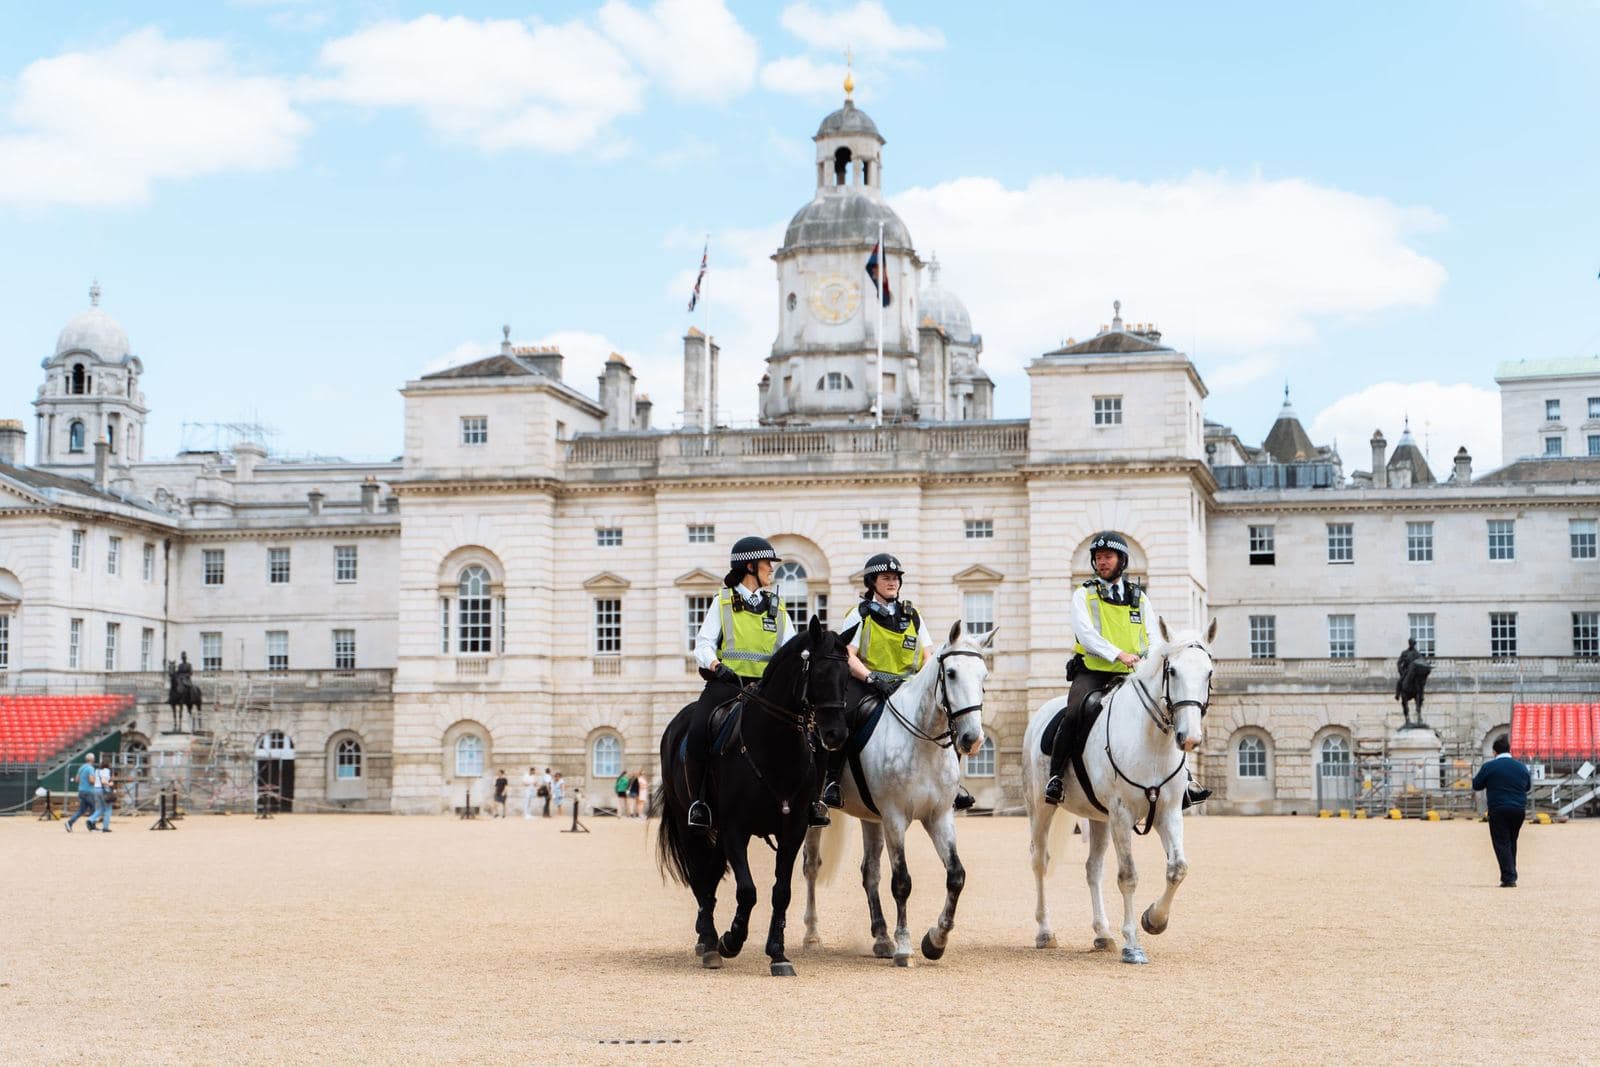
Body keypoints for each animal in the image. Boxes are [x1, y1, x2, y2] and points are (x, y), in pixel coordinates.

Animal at [655, 616, 851, 976]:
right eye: (818, 672)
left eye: (847, 676)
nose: (836, 735)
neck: (774, 748)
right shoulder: (736, 829)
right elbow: (747, 891)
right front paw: (731, 940)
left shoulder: (793, 830)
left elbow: (781, 892)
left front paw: (778, 953)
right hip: (689, 823)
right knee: (700, 876)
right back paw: (709, 941)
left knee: (710, 875)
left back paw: (706, 937)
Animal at [800, 620, 993, 967]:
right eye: (952, 673)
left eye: (984, 676)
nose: (972, 739)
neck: (924, 742)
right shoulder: (895, 817)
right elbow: (902, 882)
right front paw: (905, 946)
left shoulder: (939, 817)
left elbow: (956, 875)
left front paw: (936, 940)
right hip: (821, 814)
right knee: (811, 866)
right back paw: (812, 935)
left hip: (870, 818)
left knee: (870, 872)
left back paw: (880, 937)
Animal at [1022, 618, 1215, 964]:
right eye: (1172, 671)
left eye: (1209, 673)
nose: (1189, 738)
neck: (1152, 742)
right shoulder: (1123, 815)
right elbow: (1128, 876)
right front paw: (1133, 944)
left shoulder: (1167, 812)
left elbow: (1178, 868)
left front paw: (1154, 920)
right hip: (1042, 809)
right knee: (1039, 860)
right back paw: (1045, 931)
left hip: (1099, 818)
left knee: (1093, 870)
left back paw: (1102, 934)